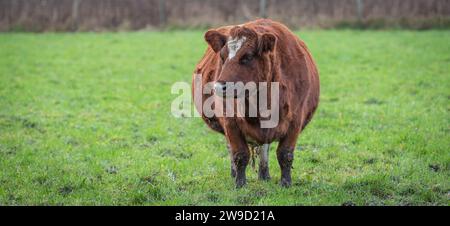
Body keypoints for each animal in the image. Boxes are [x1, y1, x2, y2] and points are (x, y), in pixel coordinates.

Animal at [192, 18, 318, 187]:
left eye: (247, 56)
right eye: (223, 57)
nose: (219, 87)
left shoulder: (295, 120)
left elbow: (285, 154)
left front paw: (285, 183)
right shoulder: (230, 122)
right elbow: (240, 154)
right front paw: (240, 184)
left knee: (265, 147)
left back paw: (264, 175)